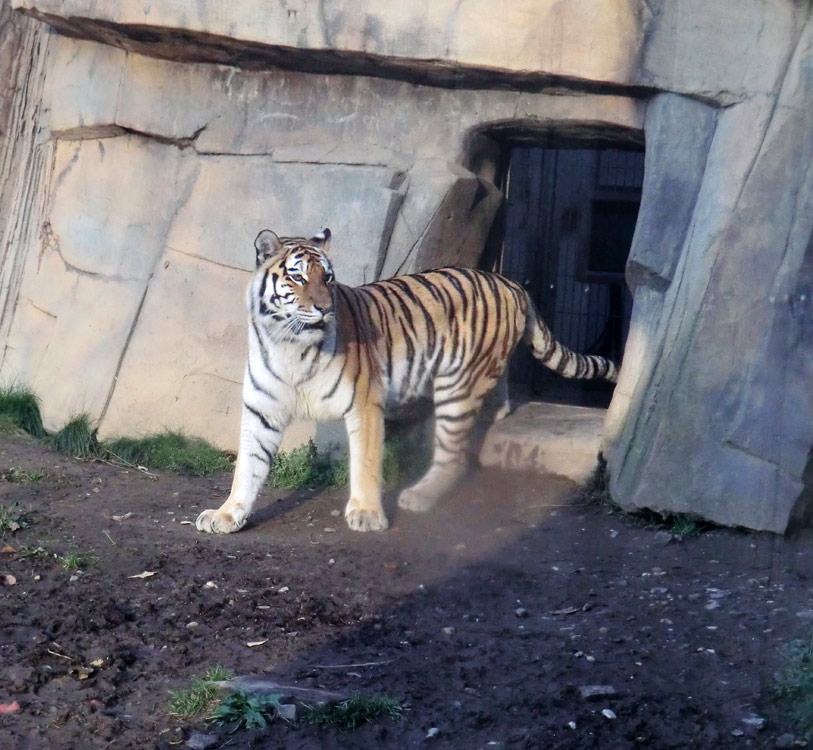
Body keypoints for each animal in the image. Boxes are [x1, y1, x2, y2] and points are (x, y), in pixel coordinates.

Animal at [195, 228, 616, 536]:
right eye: (297, 277)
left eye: (327, 278)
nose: (325, 309)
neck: (288, 345)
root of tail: (511, 283)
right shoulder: (261, 410)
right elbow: (246, 468)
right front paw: (227, 514)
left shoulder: (364, 402)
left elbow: (365, 462)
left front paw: (367, 514)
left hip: (455, 388)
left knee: (453, 456)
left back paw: (420, 495)